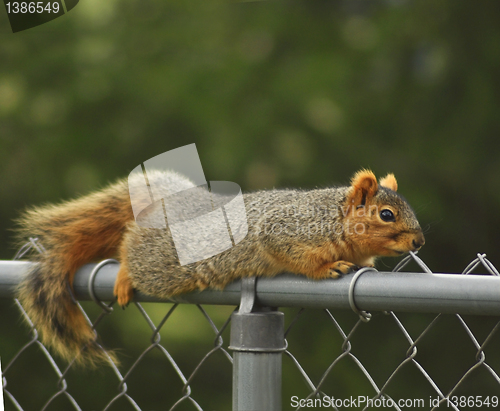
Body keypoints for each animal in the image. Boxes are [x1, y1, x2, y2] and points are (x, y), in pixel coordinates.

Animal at [14, 169, 422, 368]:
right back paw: (126, 274)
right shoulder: (286, 230)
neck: (333, 216)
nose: (419, 242)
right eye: (386, 215)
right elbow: (296, 255)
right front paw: (329, 267)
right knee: (132, 247)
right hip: (163, 263)